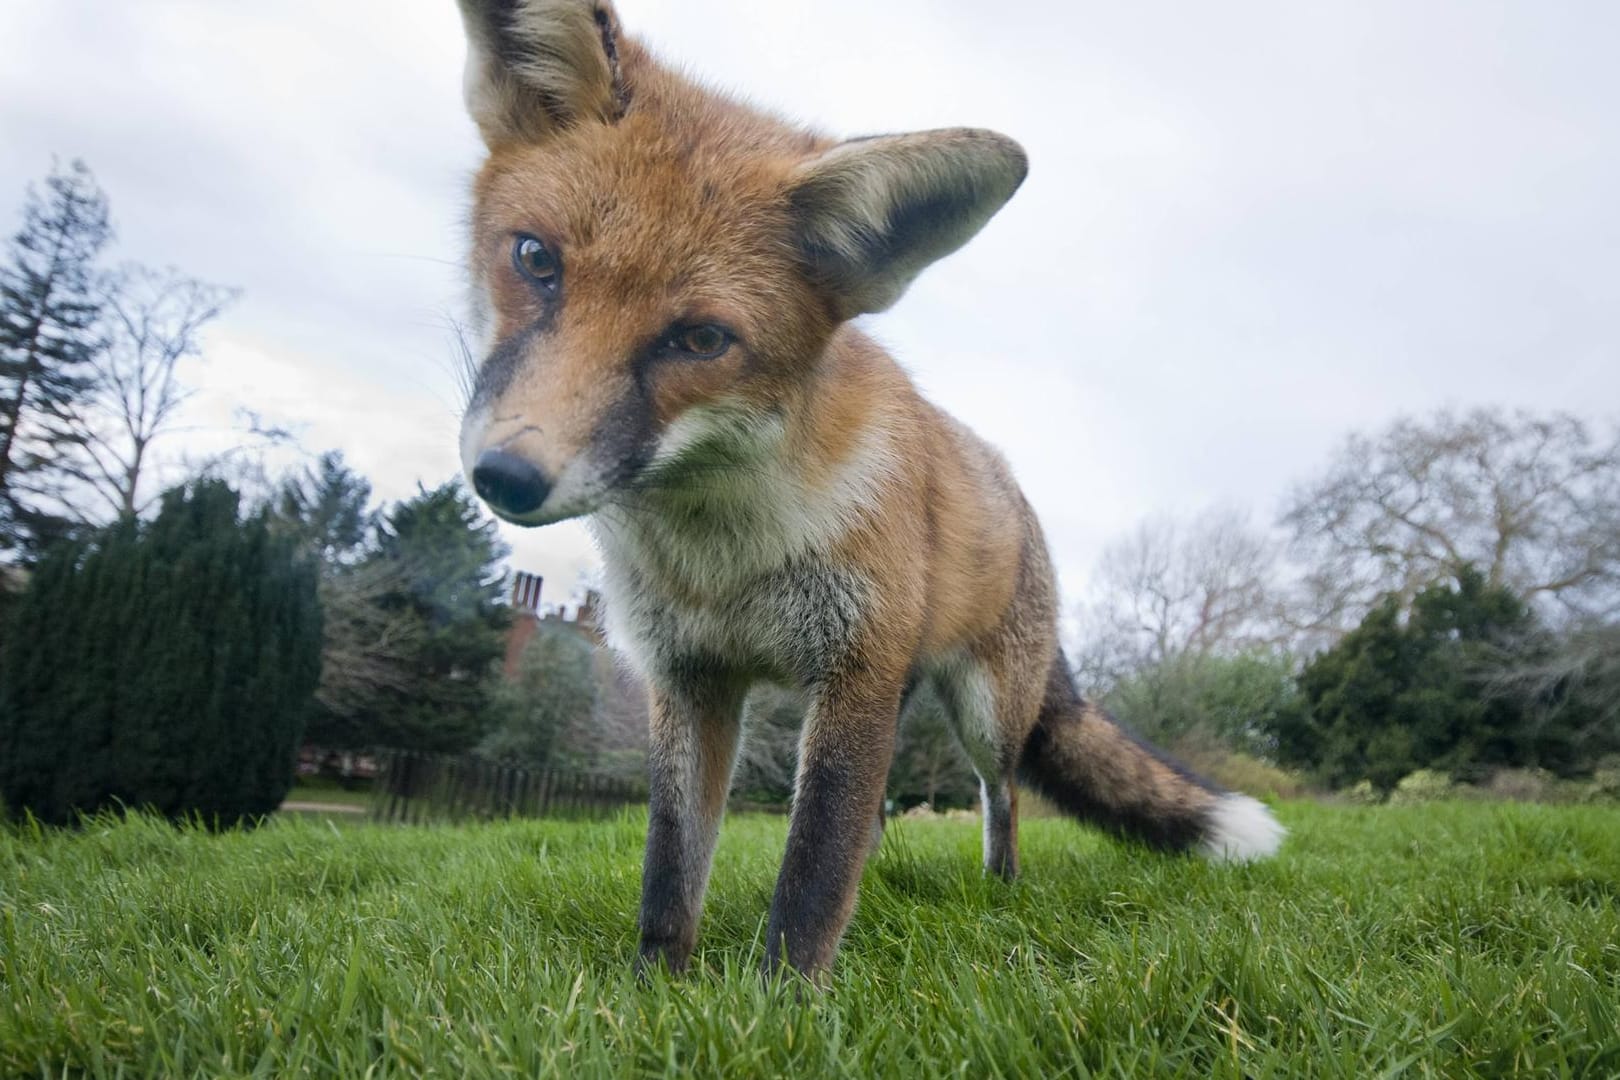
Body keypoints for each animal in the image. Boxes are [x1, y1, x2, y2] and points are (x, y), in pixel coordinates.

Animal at [450, 0, 1283, 977]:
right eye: (535, 259)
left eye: (699, 340)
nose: (507, 475)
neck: (722, 555)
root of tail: (1017, 492)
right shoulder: (691, 678)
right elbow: (671, 867)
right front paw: (656, 985)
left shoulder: (854, 671)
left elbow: (812, 873)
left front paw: (780, 999)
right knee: (882, 821)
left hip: (982, 711)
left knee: (1001, 796)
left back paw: (1000, 890)